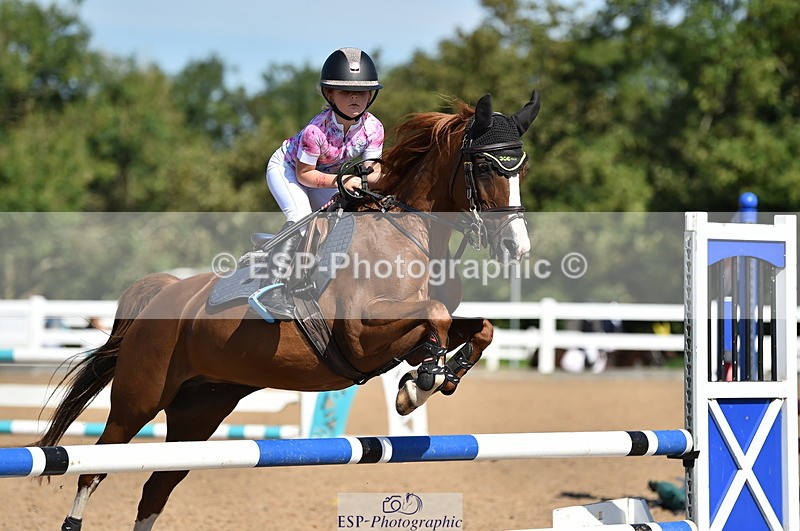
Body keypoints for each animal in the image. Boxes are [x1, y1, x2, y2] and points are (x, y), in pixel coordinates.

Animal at [34, 89, 541, 530]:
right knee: (95, 467)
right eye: (485, 165)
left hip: (199, 411)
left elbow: (478, 328)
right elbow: (435, 313)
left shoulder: (408, 333)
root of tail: (163, 294)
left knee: (158, 486)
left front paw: (438, 375)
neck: (407, 231)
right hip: (139, 398)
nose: (516, 248)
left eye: (521, 169)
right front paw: (419, 386)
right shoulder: (361, 336)